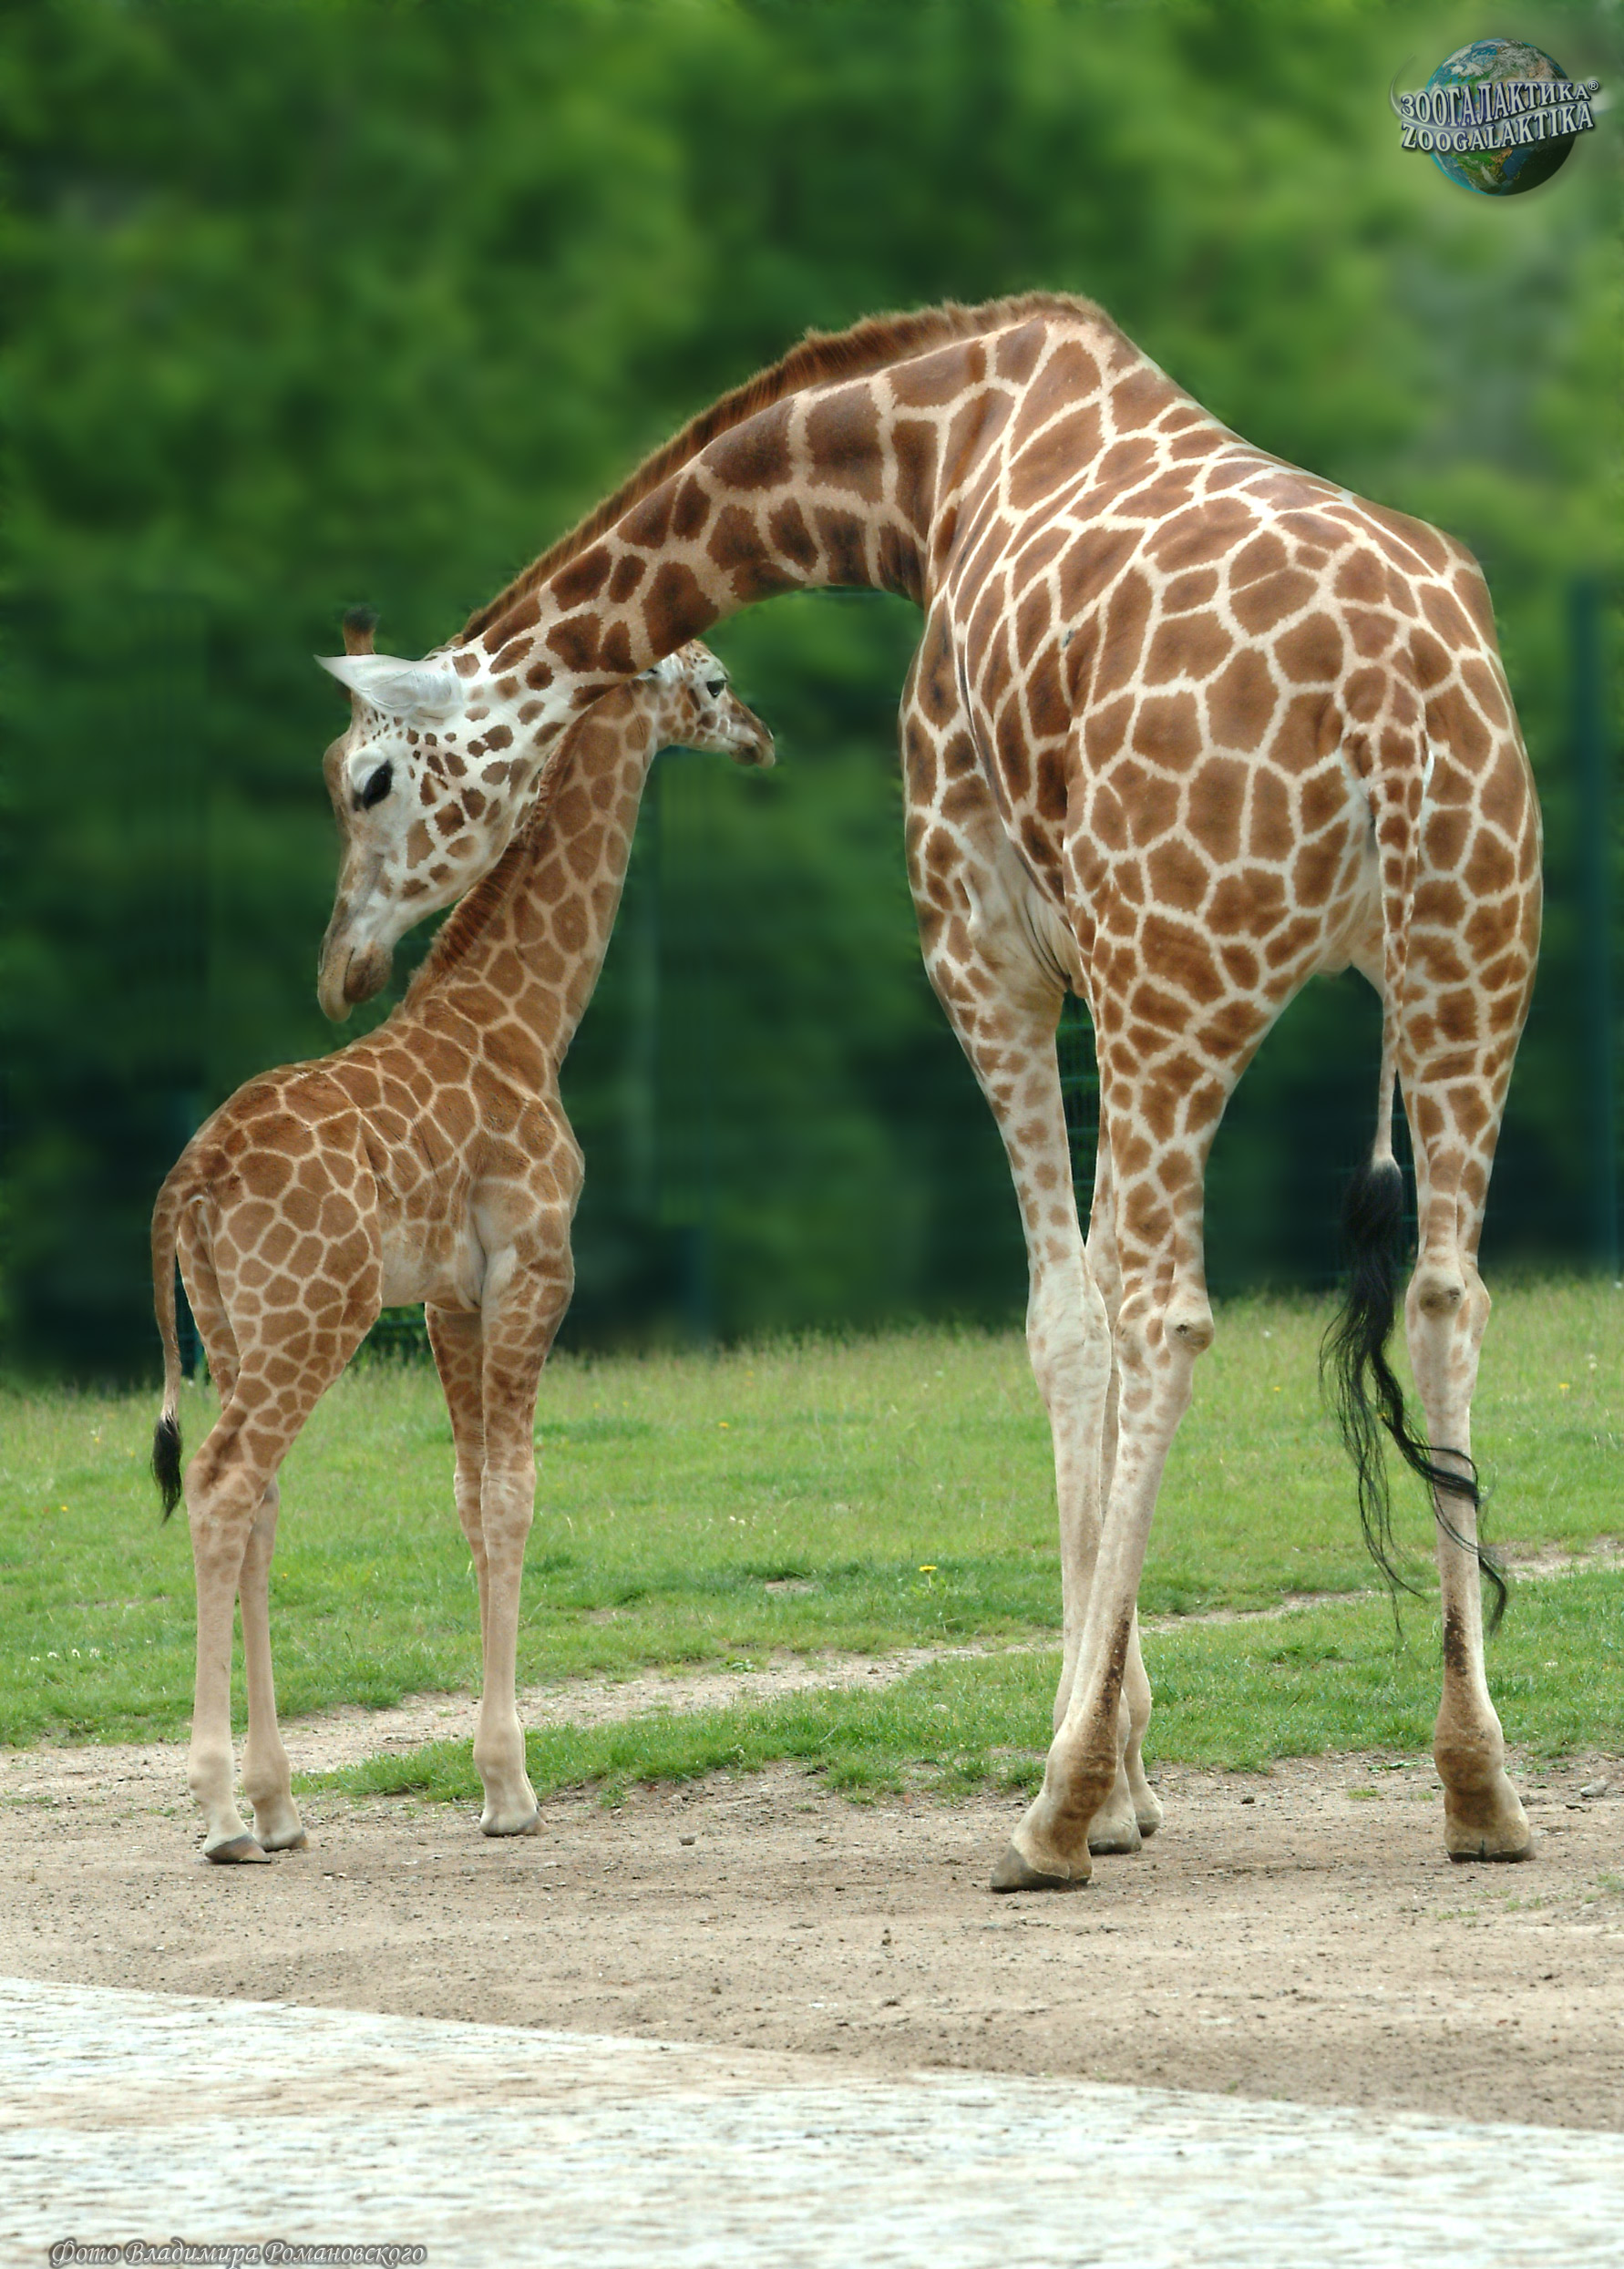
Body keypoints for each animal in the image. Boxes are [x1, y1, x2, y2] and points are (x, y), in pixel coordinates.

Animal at [150, 641, 772, 1861]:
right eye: (716, 682)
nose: (762, 737)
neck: (531, 1018)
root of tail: (189, 1180)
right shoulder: (535, 1265)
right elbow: (514, 1493)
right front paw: (509, 1786)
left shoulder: (450, 1297)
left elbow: (468, 1493)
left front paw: (492, 1777)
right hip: (314, 1311)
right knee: (222, 1478)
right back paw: (220, 1814)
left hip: (233, 1320)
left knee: (259, 1499)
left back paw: (279, 1806)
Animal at [309, 293, 1541, 1887]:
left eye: (368, 780)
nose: (339, 966)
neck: (919, 468)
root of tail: (1390, 700)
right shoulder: (1079, 960)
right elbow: (1093, 1299)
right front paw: (1138, 1764)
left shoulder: (988, 948)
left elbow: (1064, 1317)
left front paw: (1105, 1770)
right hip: (1466, 968)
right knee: (1447, 1294)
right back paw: (1477, 1785)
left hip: (1186, 974)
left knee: (1165, 1312)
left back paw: (1051, 1811)